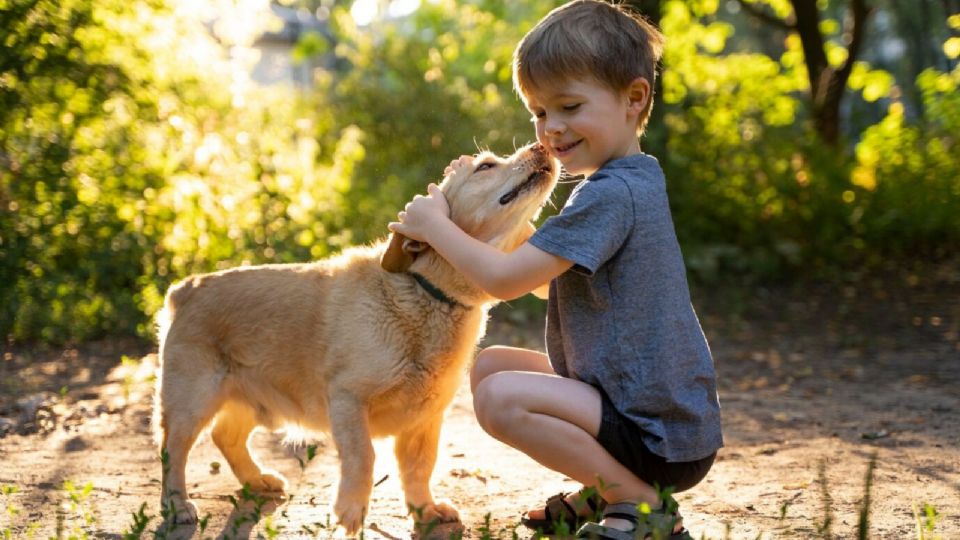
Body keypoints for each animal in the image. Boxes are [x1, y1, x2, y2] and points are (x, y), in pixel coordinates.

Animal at [153, 141, 560, 532]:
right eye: (485, 166)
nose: (543, 147)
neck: (426, 293)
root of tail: (186, 288)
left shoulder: (426, 418)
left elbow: (420, 468)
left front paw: (424, 510)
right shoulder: (348, 399)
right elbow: (364, 457)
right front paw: (350, 510)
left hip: (253, 401)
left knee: (226, 437)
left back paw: (257, 480)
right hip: (192, 402)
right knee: (172, 452)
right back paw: (177, 505)